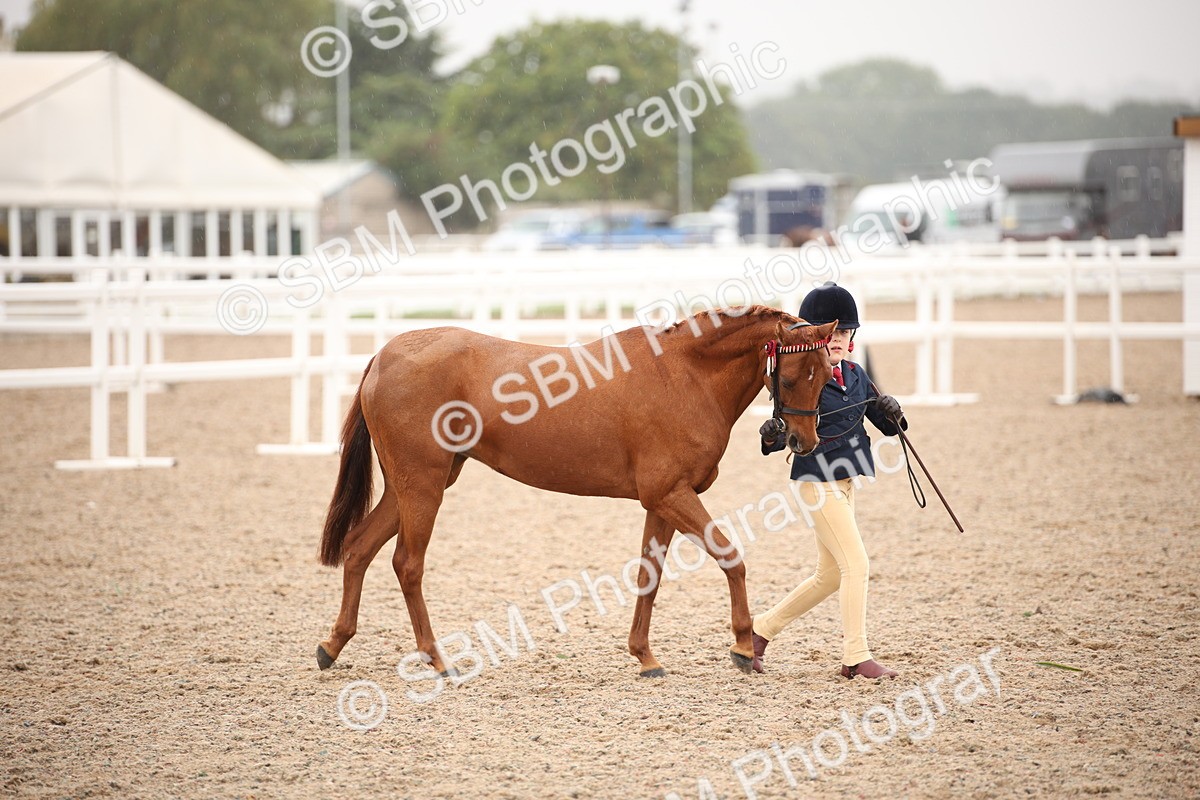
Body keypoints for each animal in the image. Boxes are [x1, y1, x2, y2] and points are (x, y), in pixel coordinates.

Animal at [315, 305, 836, 678]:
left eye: (828, 374)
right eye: (791, 377)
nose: (803, 442)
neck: (685, 375)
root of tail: (386, 355)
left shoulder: (663, 502)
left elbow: (649, 575)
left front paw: (645, 657)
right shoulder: (672, 496)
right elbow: (731, 557)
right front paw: (745, 647)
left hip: (411, 486)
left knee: (358, 548)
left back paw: (332, 645)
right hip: (423, 486)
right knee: (407, 564)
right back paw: (437, 659)